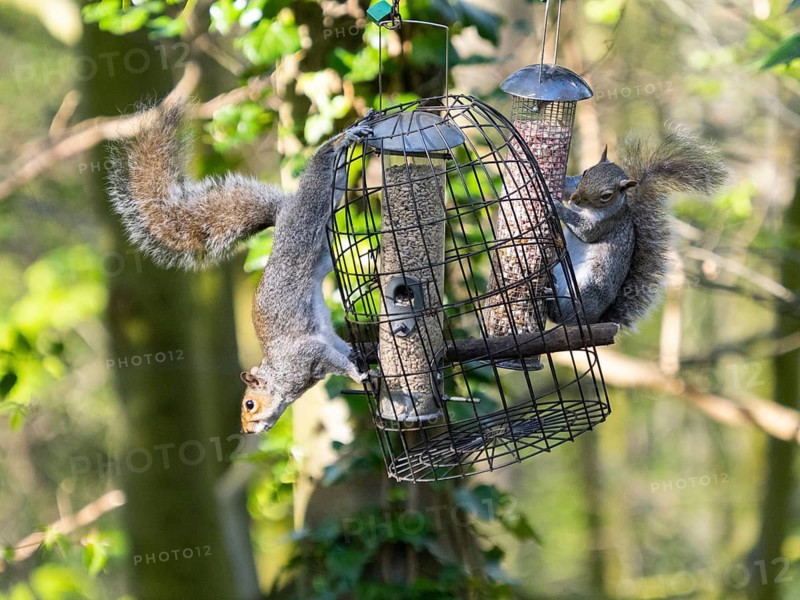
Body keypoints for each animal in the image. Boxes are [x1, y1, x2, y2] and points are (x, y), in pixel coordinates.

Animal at [107, 101, 372, 434]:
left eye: (249, 404)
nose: (246, 430)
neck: (281, 378)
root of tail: (282, 212)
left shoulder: (306, 356)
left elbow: (337, 363)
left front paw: (359, 374)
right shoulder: (323, 342)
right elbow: (341, 348)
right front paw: (363, 357)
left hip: (307, 213)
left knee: (321, 166)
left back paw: (346, 136)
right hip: (322, 244)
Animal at [548, 128, 728, 328]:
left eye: (606, 195)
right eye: (586, 172)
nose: (575, 199)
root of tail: (596, 320)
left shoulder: (607, 224)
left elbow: (585, 231)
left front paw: (558, 207)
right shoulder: (575, 186)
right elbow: (569, 185)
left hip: (590, 288)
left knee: (565, 315)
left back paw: (555, 300)